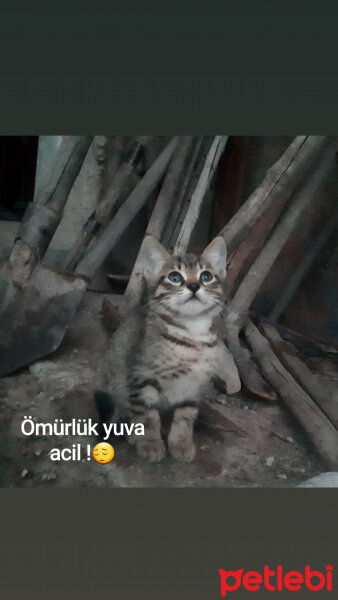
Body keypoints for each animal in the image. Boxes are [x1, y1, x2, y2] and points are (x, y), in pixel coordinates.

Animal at [96, 232, 240, 462]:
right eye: (175, 277)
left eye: (205, 277)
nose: (194, 286)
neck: (192, 333)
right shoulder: (142, 377)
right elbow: (147, 416)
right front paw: (151, 443)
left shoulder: (194, 384)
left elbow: (185, 415)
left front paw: (181, 443)